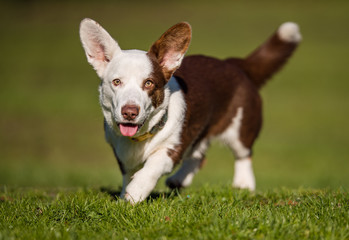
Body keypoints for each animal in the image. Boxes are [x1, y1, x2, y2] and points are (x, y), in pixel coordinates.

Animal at [79, 18, 300, 202]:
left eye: (149, 83)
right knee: (199, 155)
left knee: (243, 154)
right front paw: (125, 194)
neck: (140, 138)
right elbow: (127, 173)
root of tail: (235, 64)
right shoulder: (120, 151)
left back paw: (243, 184)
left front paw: (136, 192)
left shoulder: (173, 147)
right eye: (116, 82)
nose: (130, 112)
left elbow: (152, 166)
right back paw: (179, 179)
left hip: (241, 126)